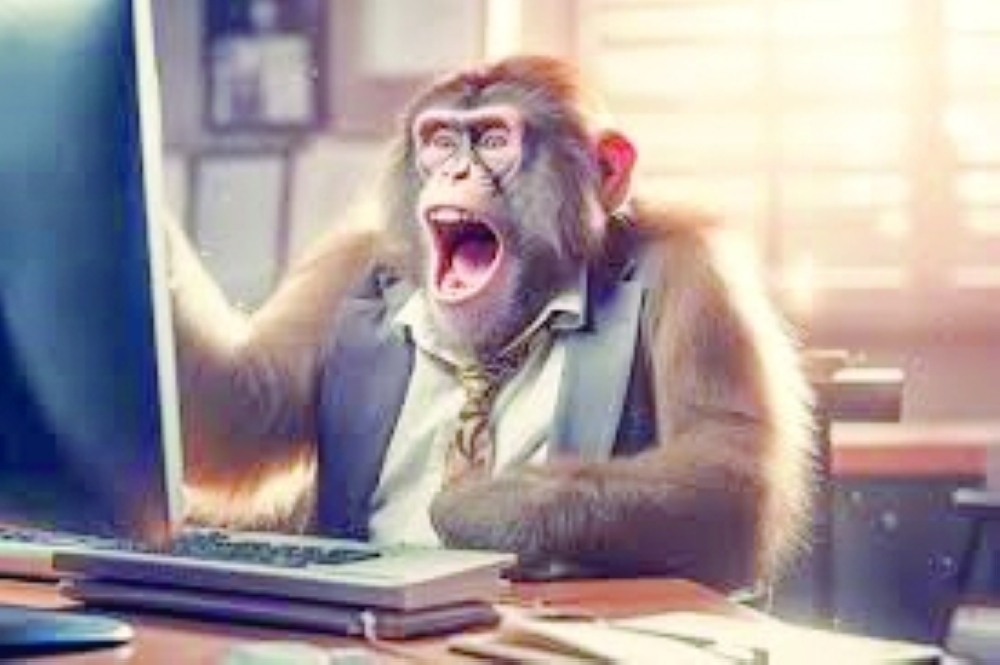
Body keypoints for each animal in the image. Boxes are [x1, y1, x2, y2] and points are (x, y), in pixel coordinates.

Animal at [167, 55, 815, 591]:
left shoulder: (698, 272)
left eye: (495, 139)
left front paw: (472, 509)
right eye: (441, 140)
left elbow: (726, 464)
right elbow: (250, 396)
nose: (453, 172)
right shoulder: (349, 262)